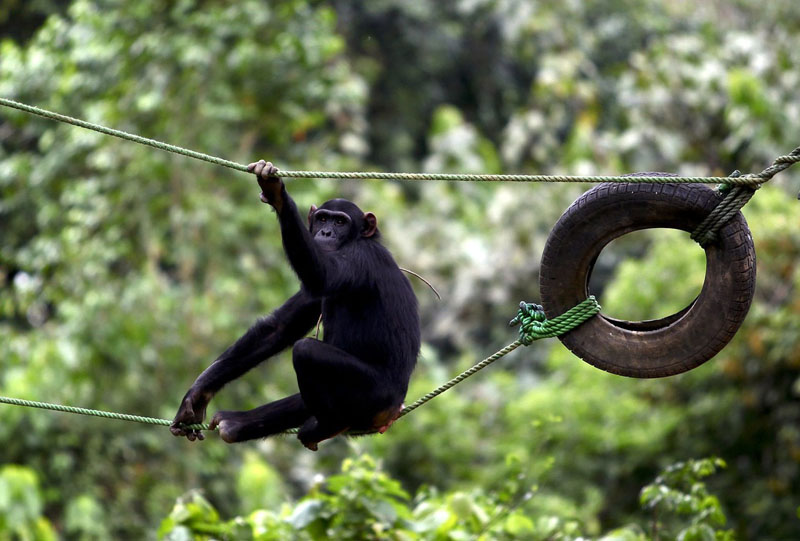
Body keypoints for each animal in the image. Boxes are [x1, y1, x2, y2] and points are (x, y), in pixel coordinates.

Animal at [171, 162, 422, 450]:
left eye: (340, 222)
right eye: (323, 219)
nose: (326, 232)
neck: (356, 240)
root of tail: (392, 411)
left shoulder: (359, 258)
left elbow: (322, 274)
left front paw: (278, 194)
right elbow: (279, 328)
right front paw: (196, 396)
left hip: (374, 395)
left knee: (307, 352)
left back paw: (327, 426)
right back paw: (237, 424)